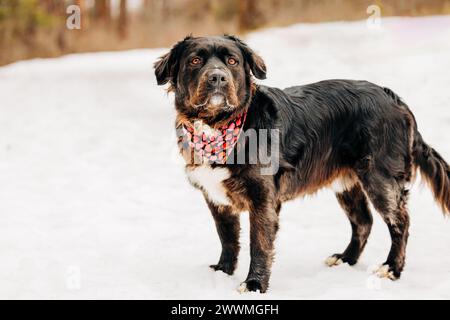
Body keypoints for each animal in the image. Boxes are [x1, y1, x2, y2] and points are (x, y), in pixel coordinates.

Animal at [155, 35, 450, 292]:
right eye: (195, 60)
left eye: (232, 61)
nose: (218, 77)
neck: (219, 126)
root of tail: (394, 98)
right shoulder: (215, 196)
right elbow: (227, 237)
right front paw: (223, 272)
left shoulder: (263, 199)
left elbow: (259, 244)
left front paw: (254, 285)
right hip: (345, 181)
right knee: (363, 221)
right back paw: (346, 259)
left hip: (380, 177)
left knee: (400, 221)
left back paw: (392, 268)